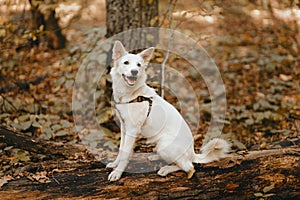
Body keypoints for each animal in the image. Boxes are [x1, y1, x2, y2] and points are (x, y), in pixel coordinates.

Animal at [106, 40, 230, 181]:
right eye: (126, 62)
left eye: (139, 65)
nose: (134, 72)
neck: (131, 95)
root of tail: (192, 153)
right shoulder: (124, 126)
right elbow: (121, 149)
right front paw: (115, 164)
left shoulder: (132, 130)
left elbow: (125, 154)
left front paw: (118, 172)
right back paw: (155, 156)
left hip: (165, 144)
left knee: (189, 167)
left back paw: (166, 169)